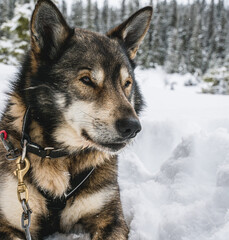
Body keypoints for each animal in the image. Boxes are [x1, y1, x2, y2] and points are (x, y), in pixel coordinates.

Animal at [0, 0, 153, 239]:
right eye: (87, 80)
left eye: (126, 83)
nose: (133, 127)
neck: (59, 154)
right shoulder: (10, 221)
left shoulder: (111, 218)